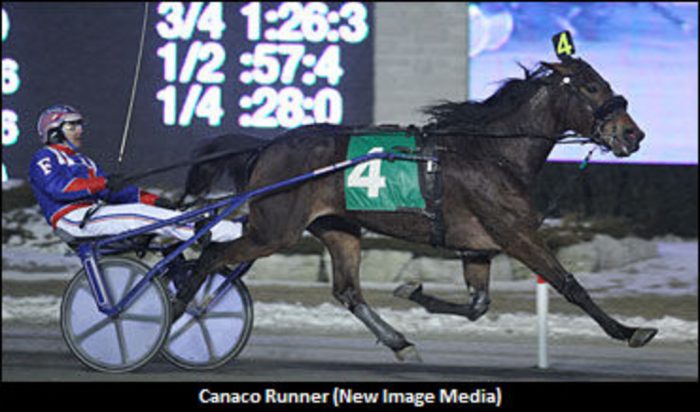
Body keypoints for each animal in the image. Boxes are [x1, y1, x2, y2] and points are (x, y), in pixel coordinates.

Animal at [176, 56, 656, 361]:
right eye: (591, 86)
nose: (634, 135)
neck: (493, 154)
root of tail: (267, 147)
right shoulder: (516, 233)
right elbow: (569, 285)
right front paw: (631, 331)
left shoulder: (478, 245)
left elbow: (478, 304)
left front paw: (413, 291)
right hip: (275, 230)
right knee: (212, 255)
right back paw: (179, 309)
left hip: (338, 227)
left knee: (348, 291)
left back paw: (398, 341)